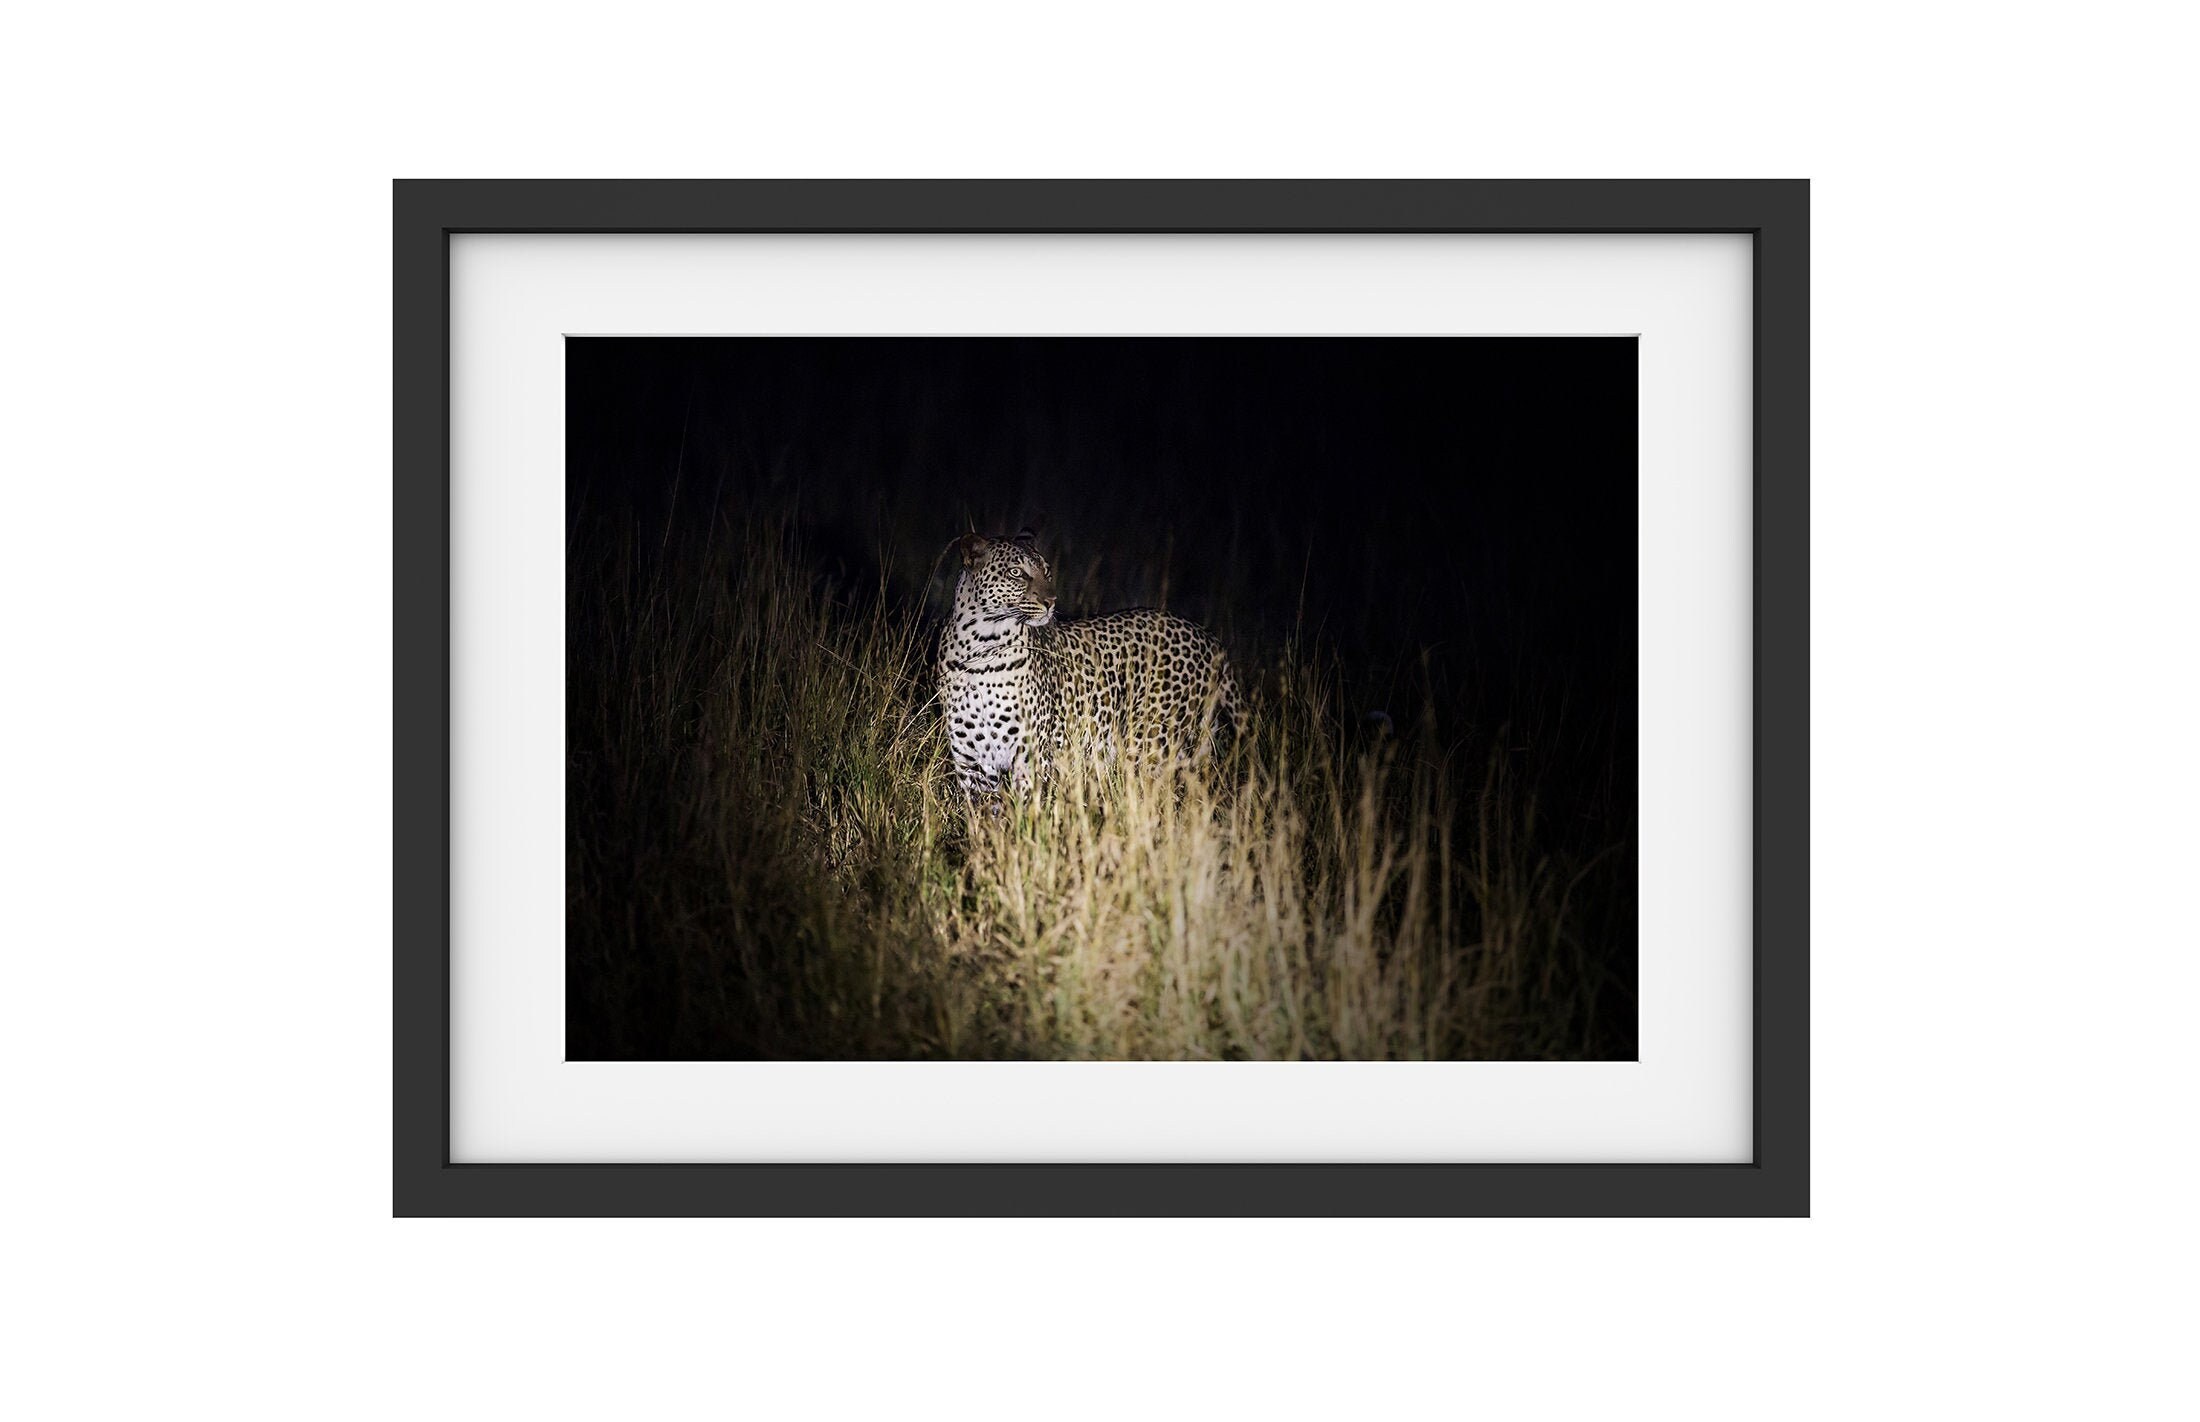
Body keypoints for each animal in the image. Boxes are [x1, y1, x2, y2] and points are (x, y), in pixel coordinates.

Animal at [937, 530, 1239, 799]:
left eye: (1047, 571)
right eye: (1016, 573)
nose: (1051, 602)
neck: (983, 647)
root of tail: (1208, 636)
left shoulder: (1032, 756)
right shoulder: (971, 762)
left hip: (1152, 744)